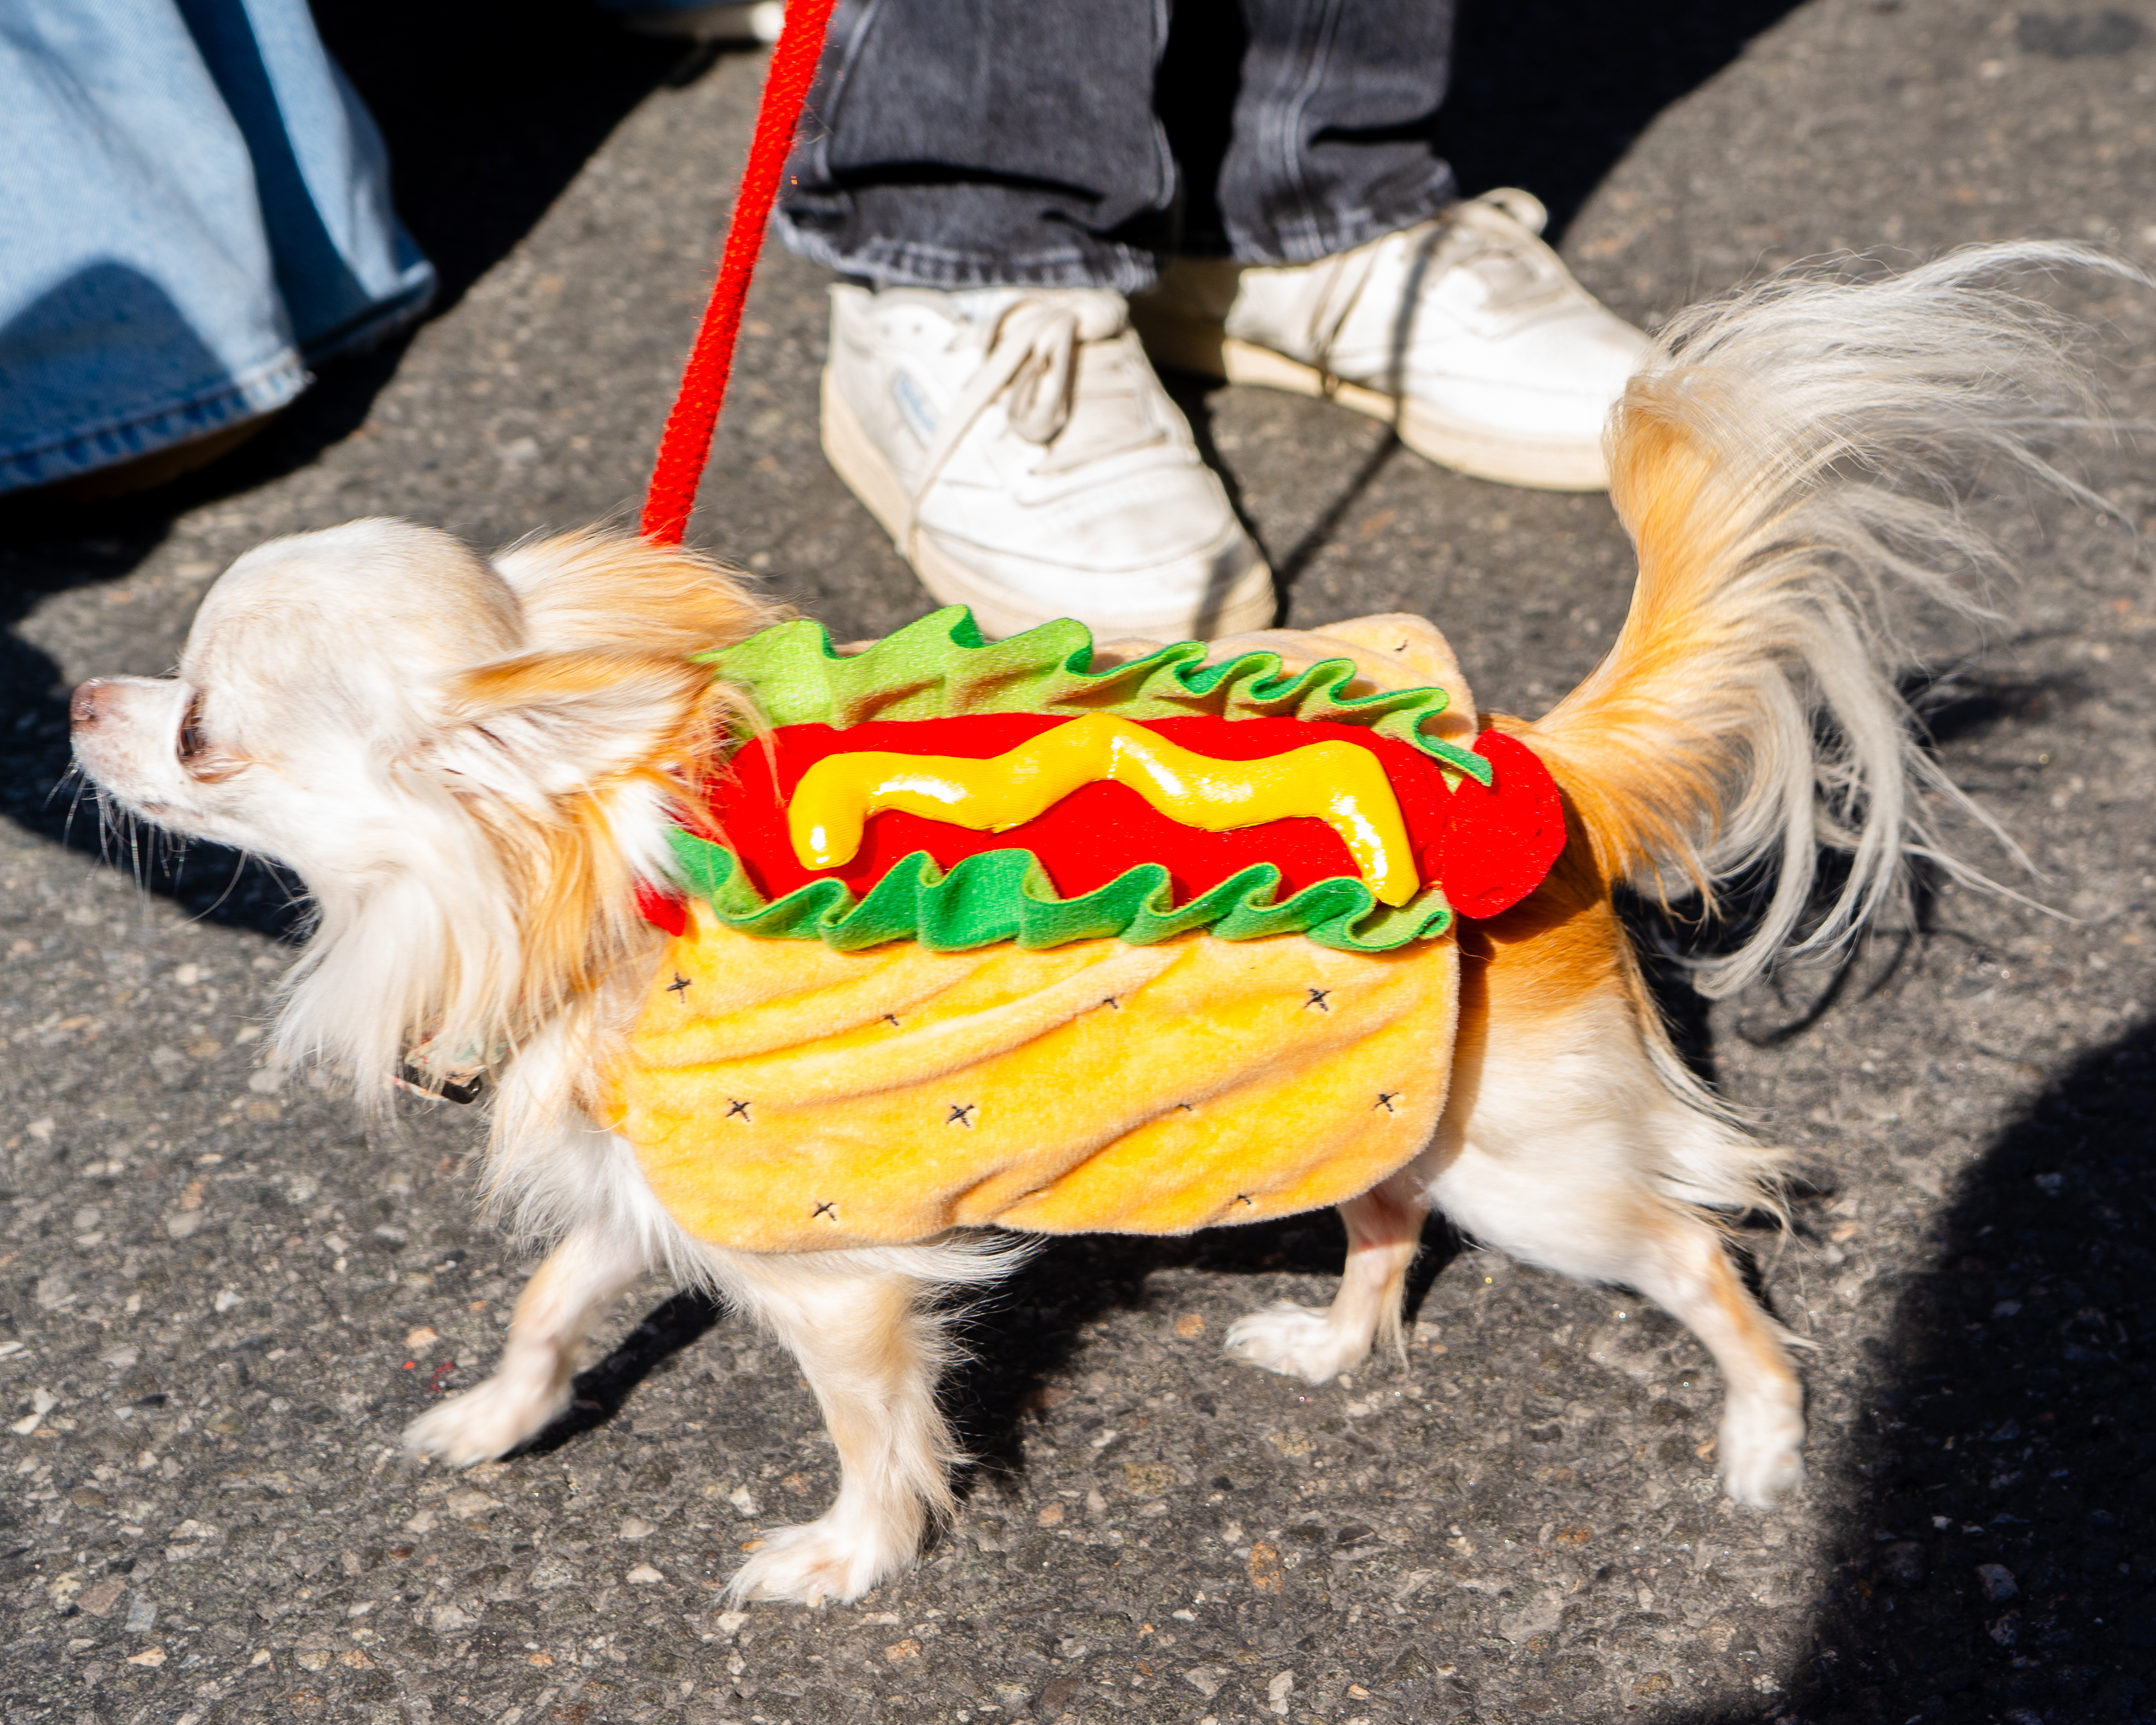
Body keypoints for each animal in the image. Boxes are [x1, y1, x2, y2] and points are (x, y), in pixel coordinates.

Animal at [71, 242, 2104, 1604]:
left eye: (205, 731)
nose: (77, 700)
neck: (593, 897)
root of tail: (1529, 763)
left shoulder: (830, 1270)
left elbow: (872, 1426)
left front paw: (844, 1561)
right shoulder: (662, 1190)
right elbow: (552, 1305)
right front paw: (494, 1425)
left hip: (1531, 1168)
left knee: (1694, 1257)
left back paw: (1761, 1441)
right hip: (1376, 1094)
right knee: (1384, 1219)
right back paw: (1334, 1352)